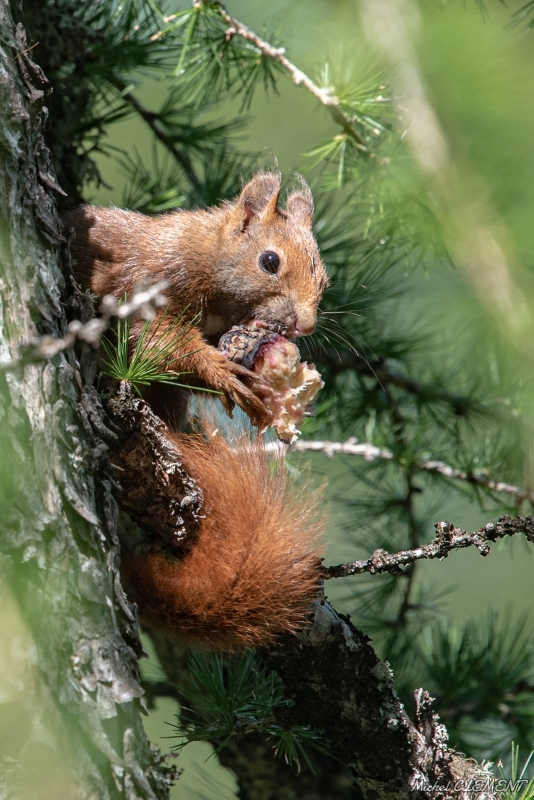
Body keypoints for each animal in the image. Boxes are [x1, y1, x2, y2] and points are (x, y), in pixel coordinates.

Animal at [65, 173, 328, 648]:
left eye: (324, 278)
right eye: (269, 261)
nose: (305, 327)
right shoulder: (145, 285)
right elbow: (155, 342)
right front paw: (222, 371)